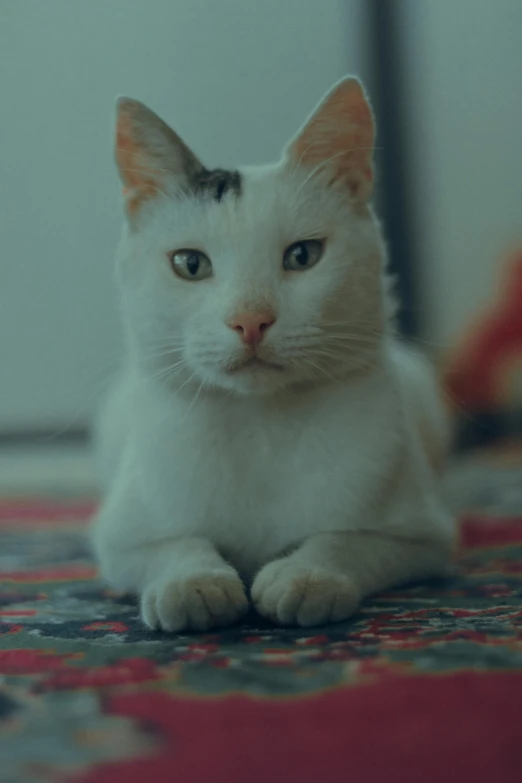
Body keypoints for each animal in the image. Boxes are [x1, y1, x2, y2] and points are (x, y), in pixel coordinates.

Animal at [91, 76, 452, 632]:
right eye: (190, 264)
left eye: (302, 256)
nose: (250, 320)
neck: (259, 424)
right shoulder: (119, 540)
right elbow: (175, 544)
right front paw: (194, 585)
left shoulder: (423, 538)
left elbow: (345, 540)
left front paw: (306, 578)